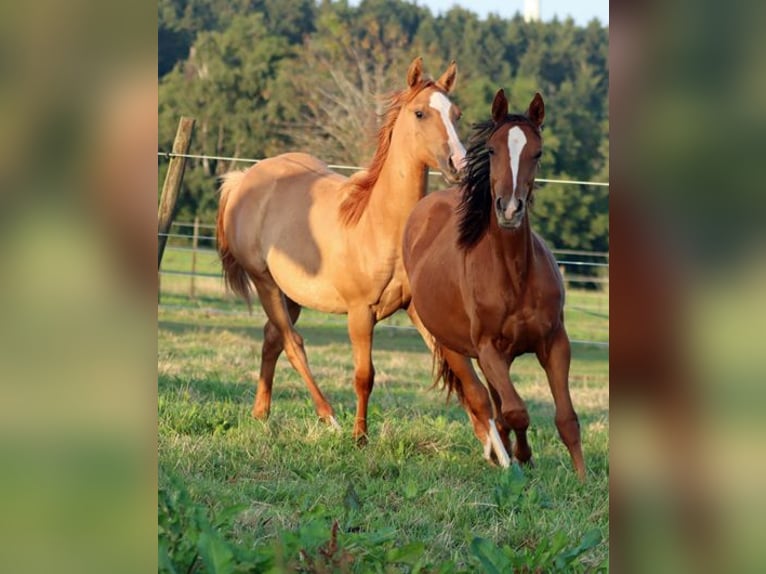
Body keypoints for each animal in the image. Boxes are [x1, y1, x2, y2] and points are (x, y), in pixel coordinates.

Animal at [216, 57, 466, 441]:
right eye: (421, 113)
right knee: (292, 343)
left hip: (292, 293)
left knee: (271, 338)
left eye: (456, 114)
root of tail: (243, 178)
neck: (377, 225)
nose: (460, 163)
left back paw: (261, 414)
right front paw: (359, 437)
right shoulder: (360, 313)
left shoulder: (415, 309)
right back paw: (328, 417)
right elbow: (364, 376)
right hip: (265, 283)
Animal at [402, 89, 586, 480]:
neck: (514, 275)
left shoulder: (555, 342)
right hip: (454, 349)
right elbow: (517, 412)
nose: (510, 209)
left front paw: (582, 478)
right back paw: (502, 455)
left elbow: (566, 419)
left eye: (538, 153)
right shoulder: (487, 349)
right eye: (491, 150)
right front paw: (522, 459)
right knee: (484, 402)